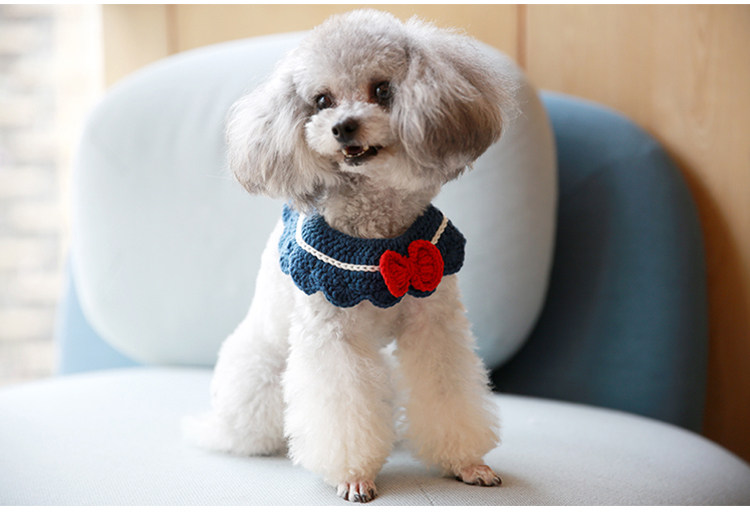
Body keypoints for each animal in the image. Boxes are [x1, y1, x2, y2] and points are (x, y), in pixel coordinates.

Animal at [184, 9, 515, 503]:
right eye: (321, 100)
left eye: (381, 90)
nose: (343, 126)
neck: (379, 235)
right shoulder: (331, 333)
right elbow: (342, 409)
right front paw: (354, 476)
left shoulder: (435, 324)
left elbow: (448, 390)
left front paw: (467, 464)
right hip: (260, 378)